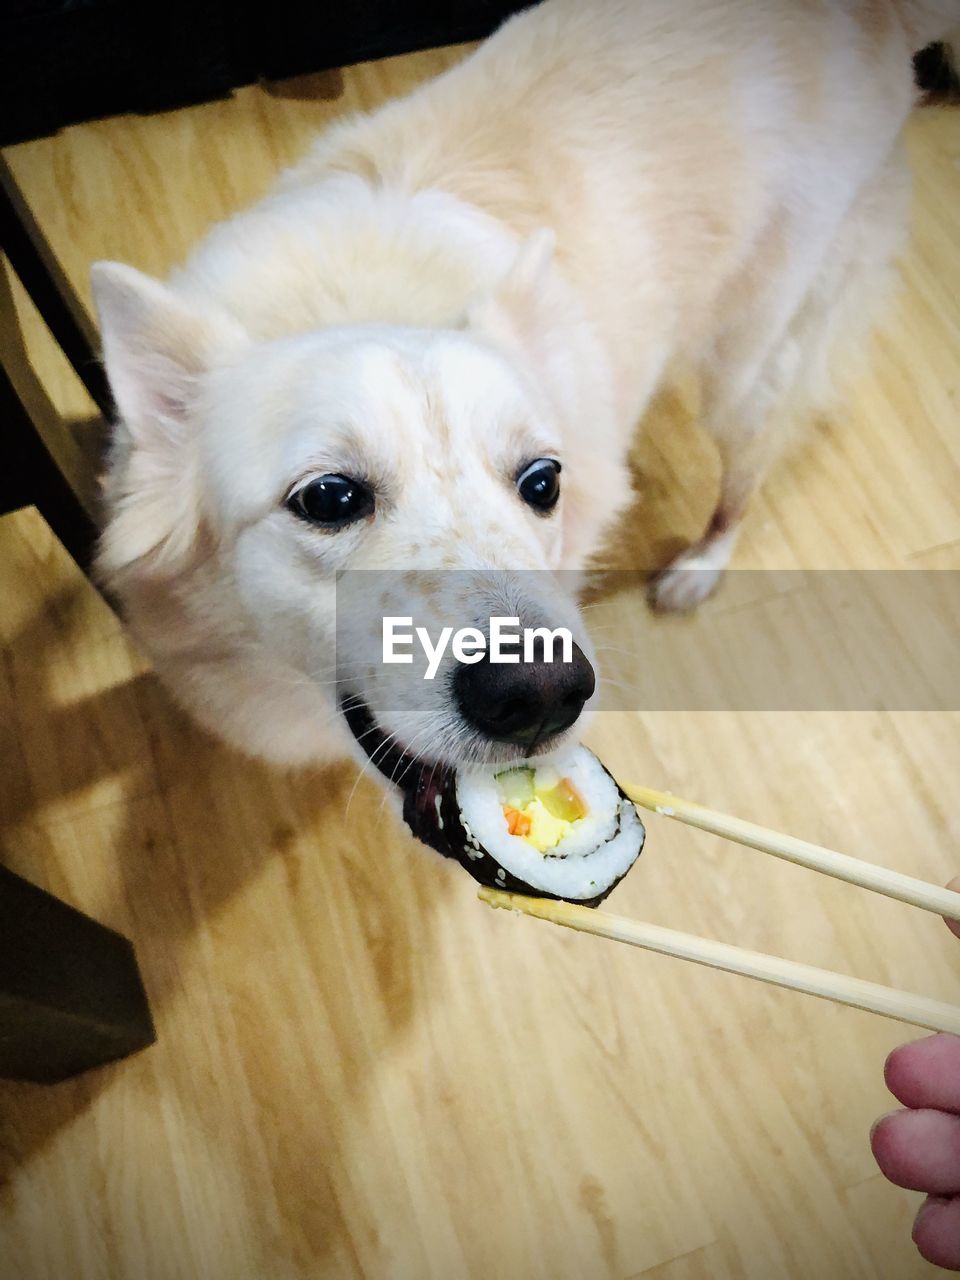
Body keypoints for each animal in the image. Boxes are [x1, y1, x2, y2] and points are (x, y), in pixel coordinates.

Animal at [92, 0, 960, 783]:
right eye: (329, 498)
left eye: (542, 483)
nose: (543, 693)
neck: (357, 300)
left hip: (742, 362)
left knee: (749, 467)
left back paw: (700, 565)